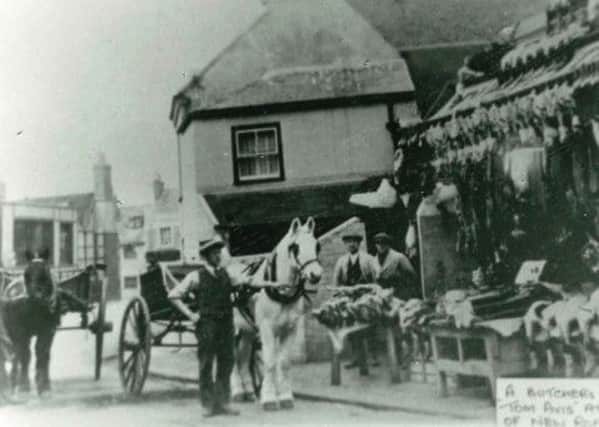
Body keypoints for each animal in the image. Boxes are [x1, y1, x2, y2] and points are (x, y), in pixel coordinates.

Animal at [230, 219, 324, 410]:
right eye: (295, 247)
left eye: (317, 245)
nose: (315, 274)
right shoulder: (267, 329)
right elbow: (270, 361)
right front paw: (269, 398)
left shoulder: (290, 328)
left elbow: (284, 361)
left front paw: (286, 396)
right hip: (231, 330)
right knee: (233, 359)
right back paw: (237, 392)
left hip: (246, 332)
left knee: (244, 358)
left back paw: (248, 391)